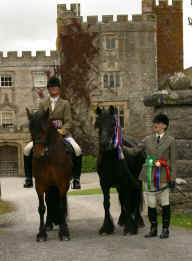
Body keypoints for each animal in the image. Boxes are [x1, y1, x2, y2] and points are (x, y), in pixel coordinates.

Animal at [26, 107, 73, 240]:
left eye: (44, 129)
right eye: (30, 129)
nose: (38, 154)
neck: (49, 157)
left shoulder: (63, 183)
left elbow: (61, 206)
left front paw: (64, 232)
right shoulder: (40, 184)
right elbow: (42, 208)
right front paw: (41, 233)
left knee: (62, 203)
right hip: (49, 185)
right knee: (48, 201)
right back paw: (47, 225)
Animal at [95, 104, 145, 235]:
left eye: (113, 124)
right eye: (98, 123)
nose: (105, 144)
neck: (111, 159)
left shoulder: (125, 182)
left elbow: (128, 202)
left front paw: (130, 228)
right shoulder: (104, 184)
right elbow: (106, 204)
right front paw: (106, 227)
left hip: (137, 181)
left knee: (136, 196)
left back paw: (138, 221)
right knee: (122, 199)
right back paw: (123, 219)